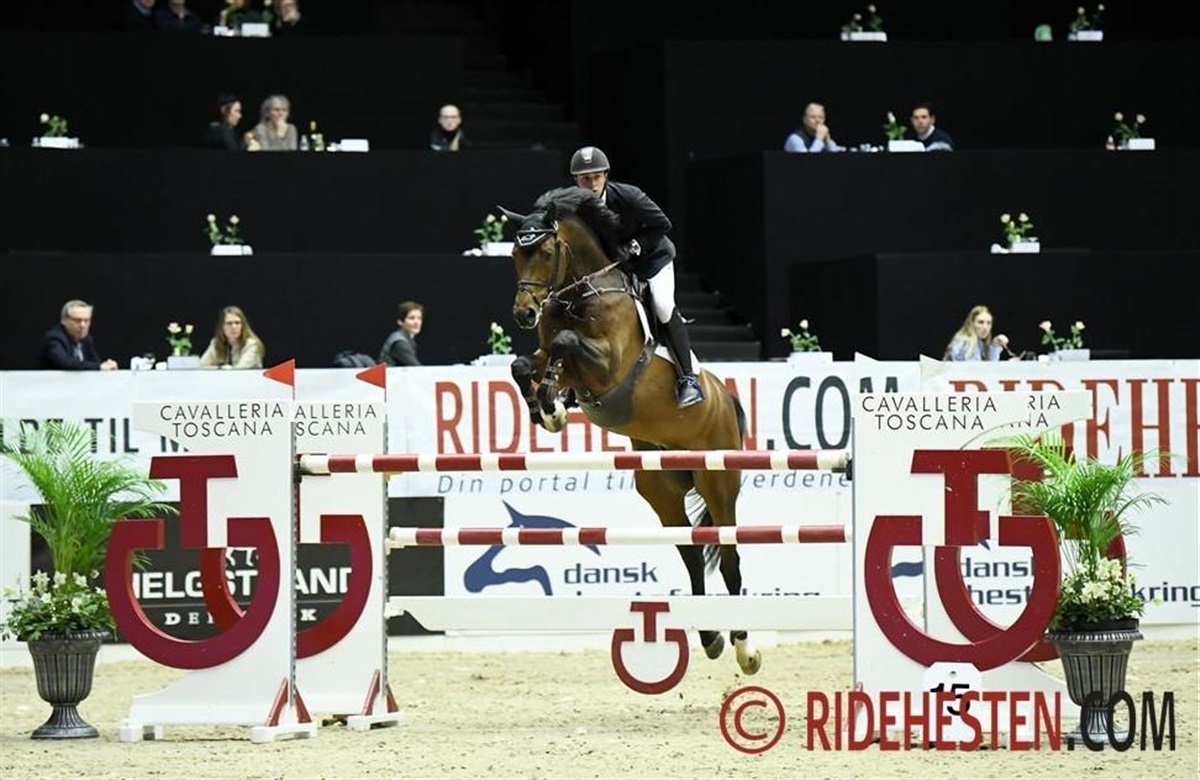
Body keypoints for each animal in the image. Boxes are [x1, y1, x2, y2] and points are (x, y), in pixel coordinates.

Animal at [497, 186, 761, 675]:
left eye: (545, 252)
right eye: (514, 255)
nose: (524, 313)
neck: (579, 294)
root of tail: (725, 398)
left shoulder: (608, 368)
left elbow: (564, 344)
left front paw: (552, 402)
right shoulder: (552, 355)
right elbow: (524, 363)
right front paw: (549, 409)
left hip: (718, 480)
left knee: (730, 559)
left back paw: (744, 648)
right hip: (660, 488)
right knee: (691, 554)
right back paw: (710, 637)